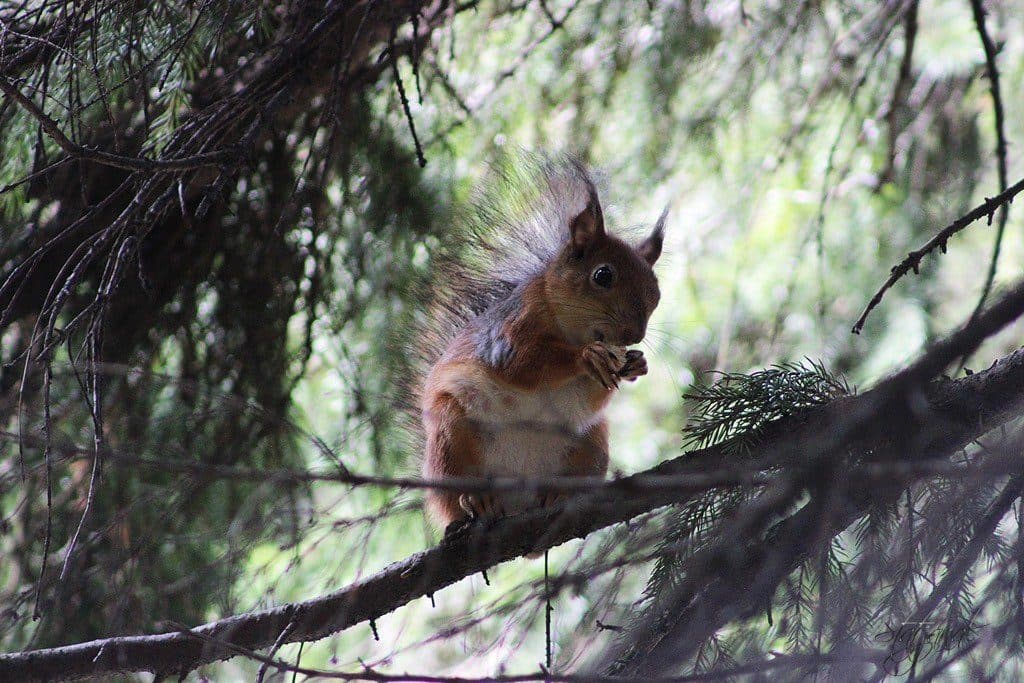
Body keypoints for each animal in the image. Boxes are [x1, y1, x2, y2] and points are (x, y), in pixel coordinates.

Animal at [413, 156, 663, 528]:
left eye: (656, 292)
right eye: (603, 275)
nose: (635, 335)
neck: (567, 327)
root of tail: (518, 498)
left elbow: (589, 398)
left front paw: (636, 363)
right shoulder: (508, 335)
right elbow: (524, 364)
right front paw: (586, 357)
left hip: (591, 443)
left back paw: (560, 492)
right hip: (450, 433)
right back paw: (476, 499)